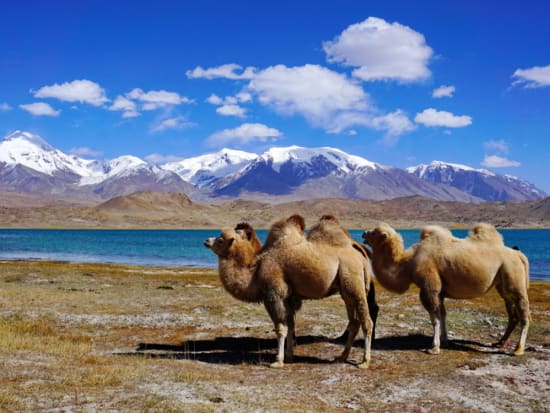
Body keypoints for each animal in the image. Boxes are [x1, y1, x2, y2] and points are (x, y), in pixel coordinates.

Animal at [206, 216, 376, 366]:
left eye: (220, 240)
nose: (206, 241)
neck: (255, 273)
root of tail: (361, 257)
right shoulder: (289, 297)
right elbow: (291, 325)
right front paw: (289, 356)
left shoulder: (273, 295)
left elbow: (280, 328)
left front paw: (278, 361)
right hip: (345, 290)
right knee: (354, 322)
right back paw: (341, 357)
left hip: (354, 281)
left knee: (366, 321)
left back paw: (364, 361)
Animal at [362, 222, 532, 354]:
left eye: (375, 232)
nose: (363, 233)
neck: (408, 263)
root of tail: (519, 255)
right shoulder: (440, 291)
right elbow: (443, 314)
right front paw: (444, 341)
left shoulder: (429, 286)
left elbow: (434, 317)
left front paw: (434, 347)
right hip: (503, 285)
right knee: (512, 314)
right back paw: (499, 343)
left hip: (514, 277)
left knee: (524, 313)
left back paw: (518, 349)